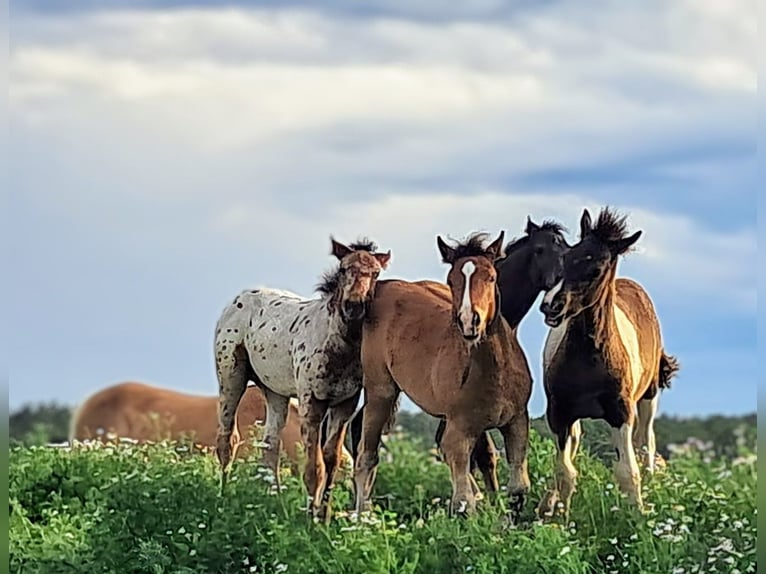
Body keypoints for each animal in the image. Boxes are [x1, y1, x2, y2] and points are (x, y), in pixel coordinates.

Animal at [216, 236, 392, 524]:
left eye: (376, 273)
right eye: (344, 268)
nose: (354, 306)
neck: (339, 348)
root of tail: (237, 299)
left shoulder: (344, 404)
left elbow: (332, 461)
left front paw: (324, 517)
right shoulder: (312, 402)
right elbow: (314, 466)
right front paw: (311, 520)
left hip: (274, 391)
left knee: (270, 445)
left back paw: (274, 504)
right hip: (231, 376)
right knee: (227, 439)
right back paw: (223, 497)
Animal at [536, 208, 680, 520]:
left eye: (596, 269)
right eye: (567, 257)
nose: (551, 306)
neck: (590, 359)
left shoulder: (621, 411)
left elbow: (627, 470)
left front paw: (638, 517)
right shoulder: (559, 412)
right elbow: (565, 470)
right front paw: (560, 519)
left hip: (648, 398)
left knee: (646, 446)